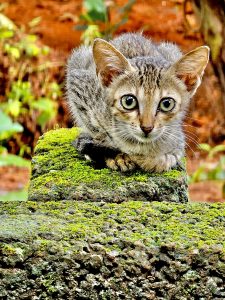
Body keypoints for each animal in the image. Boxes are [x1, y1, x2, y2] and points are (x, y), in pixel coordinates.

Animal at [66, 32, 209, 172]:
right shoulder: (78, 83)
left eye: (167, 104)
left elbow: (168, 155)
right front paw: (117, 155)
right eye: (129, 102)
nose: (147, 128)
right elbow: (100, 133)